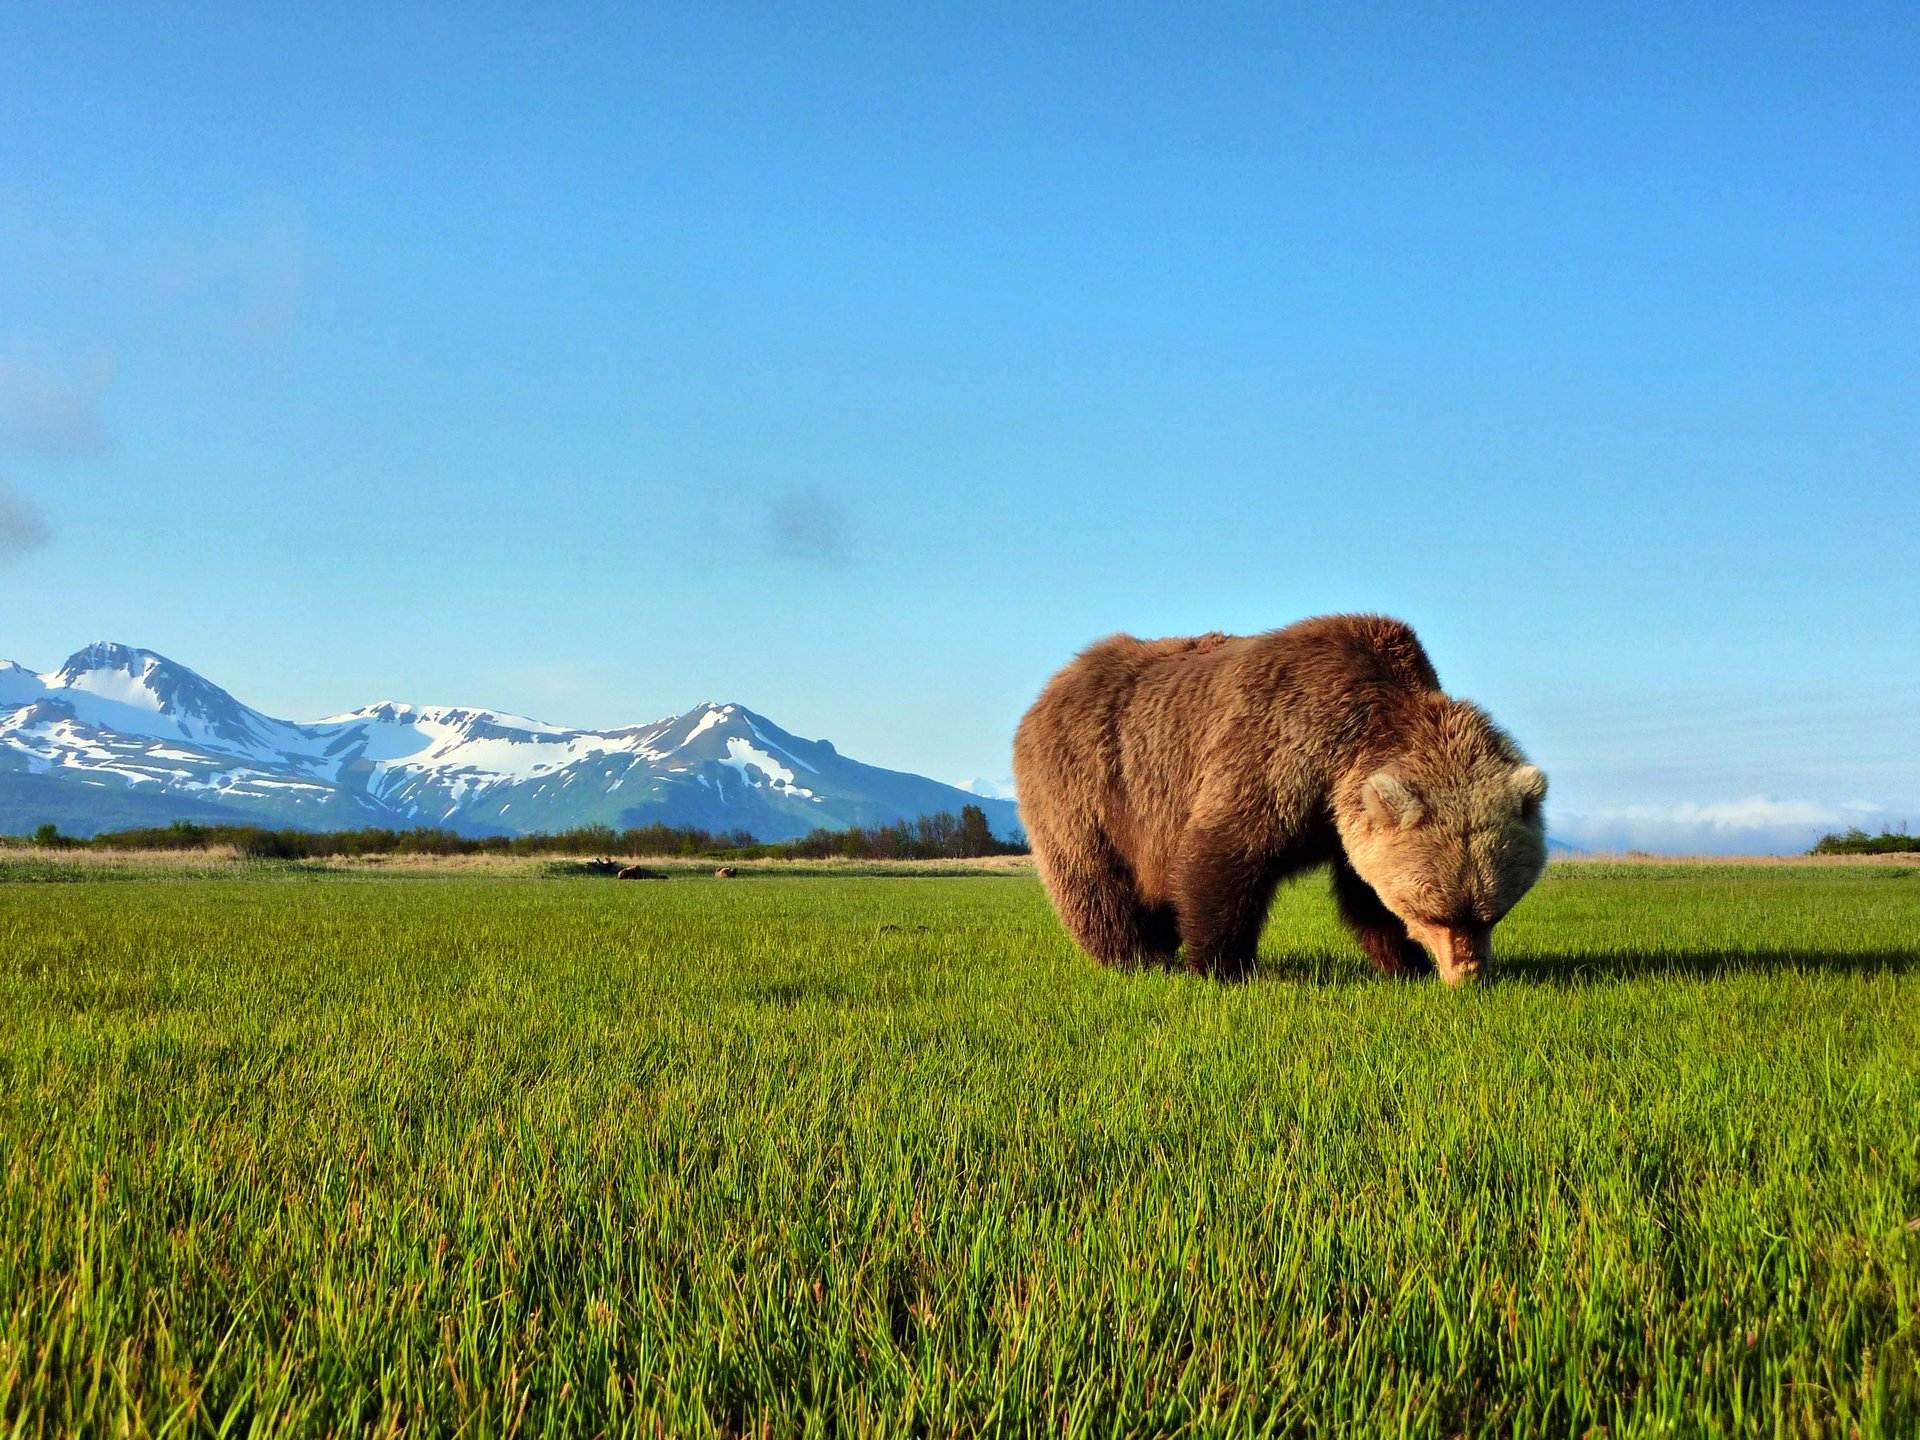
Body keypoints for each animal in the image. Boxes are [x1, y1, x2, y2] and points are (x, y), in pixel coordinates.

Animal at [1009, 614, 1547, 985]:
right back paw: (1138, 958)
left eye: (1493, 911)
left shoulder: (1342, 817)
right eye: (1436, 911)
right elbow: (1223, 856)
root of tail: (1057, 681)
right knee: (1095, 881)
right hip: (1089, 785)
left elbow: (1364, 894)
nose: (1469, 975)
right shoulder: (1277, 749)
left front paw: (1404, 962)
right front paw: (1220, 966)